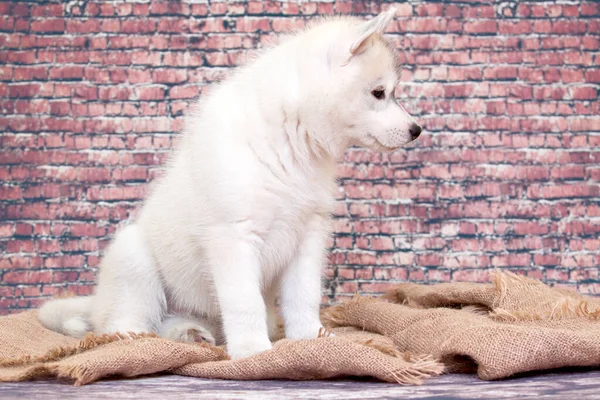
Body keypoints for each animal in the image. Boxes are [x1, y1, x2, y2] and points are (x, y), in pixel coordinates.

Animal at [37, 8, 422, 360]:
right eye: (379, 93)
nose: (417, 130)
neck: (291, 137)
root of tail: (97, 301)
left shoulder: (308, 236)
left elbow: (303, 295)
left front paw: (311, 340)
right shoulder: (233, 237)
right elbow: (244, 301)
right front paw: (253, 352)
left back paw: (190, 332)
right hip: (134, 258)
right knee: (126, 324)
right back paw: (144, 339)